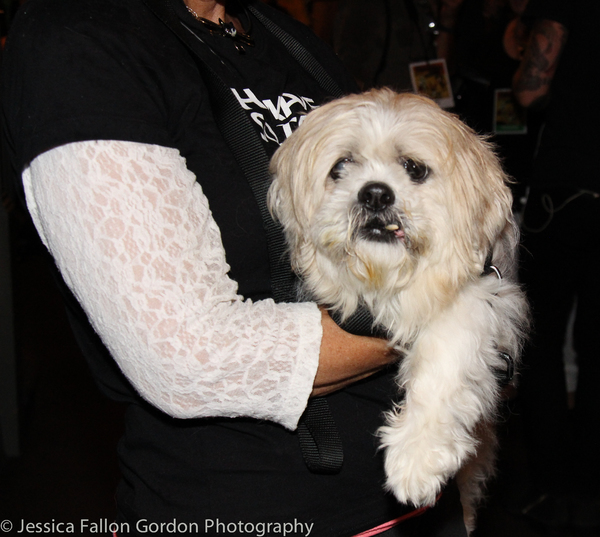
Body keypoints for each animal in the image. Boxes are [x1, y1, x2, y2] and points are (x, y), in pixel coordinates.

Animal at [270, 90, 528, 528]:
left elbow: (444, 362)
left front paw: (417, 454)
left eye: (414, 168)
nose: (375, 193)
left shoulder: (481, 294)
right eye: (341, 166)